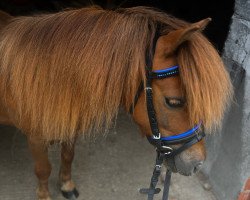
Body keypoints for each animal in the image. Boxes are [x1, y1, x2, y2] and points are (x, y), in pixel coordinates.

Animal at [0, 5, 232, 200]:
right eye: (174, 101)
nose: (197, 163)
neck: (46, 74)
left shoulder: (70, 125)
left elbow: (68, 156)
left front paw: (66, 185)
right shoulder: (35, 138)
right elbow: (43, 169)